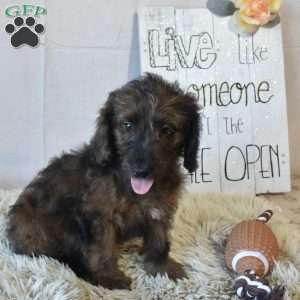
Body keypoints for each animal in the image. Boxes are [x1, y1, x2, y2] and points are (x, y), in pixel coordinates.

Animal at [6, 72, 199, 288]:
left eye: (167, 130)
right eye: (127, 125)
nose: (141, 170)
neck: (130, 187)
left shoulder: (159, 209)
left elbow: (159, 240)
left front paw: (162, 269)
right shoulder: (99, 214)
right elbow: (102, 246)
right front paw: (109, 278)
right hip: (39, 231)